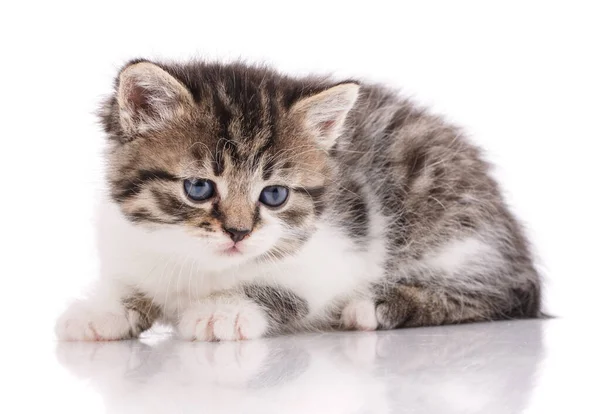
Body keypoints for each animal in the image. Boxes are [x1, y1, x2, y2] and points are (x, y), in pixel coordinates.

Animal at [55, 59, 544, 342]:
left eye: (274, 194)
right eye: (198, 188)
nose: (238, 233)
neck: (196, 261)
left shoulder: (339, 249)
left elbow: (286, 288)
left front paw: (223, 309)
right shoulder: (127, 240)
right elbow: (128, 283)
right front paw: (103, 310)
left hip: (456, 232)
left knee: (503, 293)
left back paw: (374, 307)